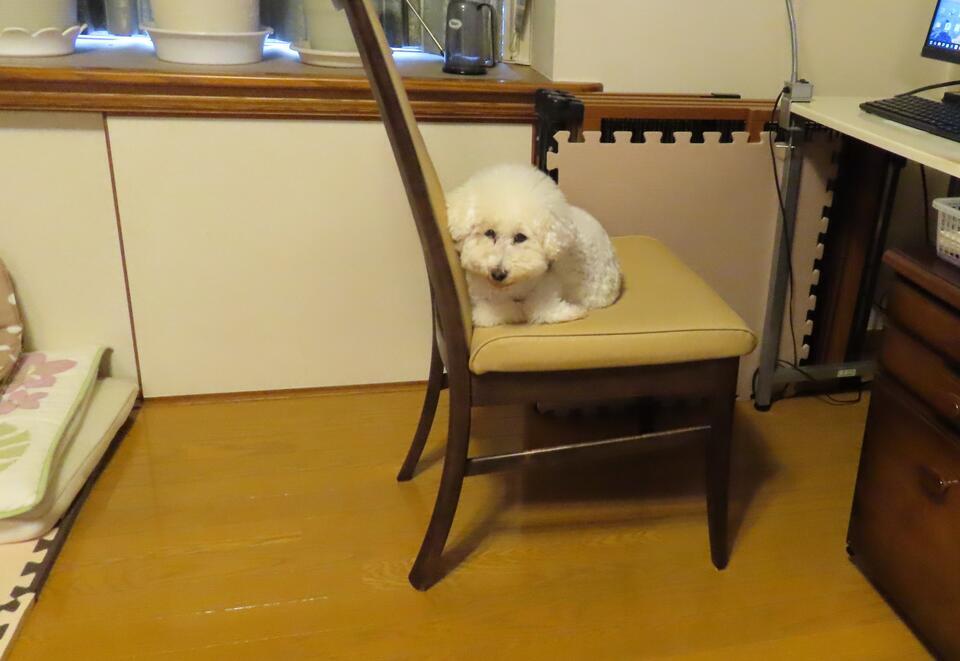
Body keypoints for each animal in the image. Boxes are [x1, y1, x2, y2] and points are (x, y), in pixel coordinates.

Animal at [446, 164, 622, 327]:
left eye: (520, 237)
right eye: (489, 233)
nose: (498, 274)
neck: (510, 288)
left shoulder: (547, 286)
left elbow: (535, 308)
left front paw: (573, 311)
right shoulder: (480, 297)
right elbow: (491, 312)